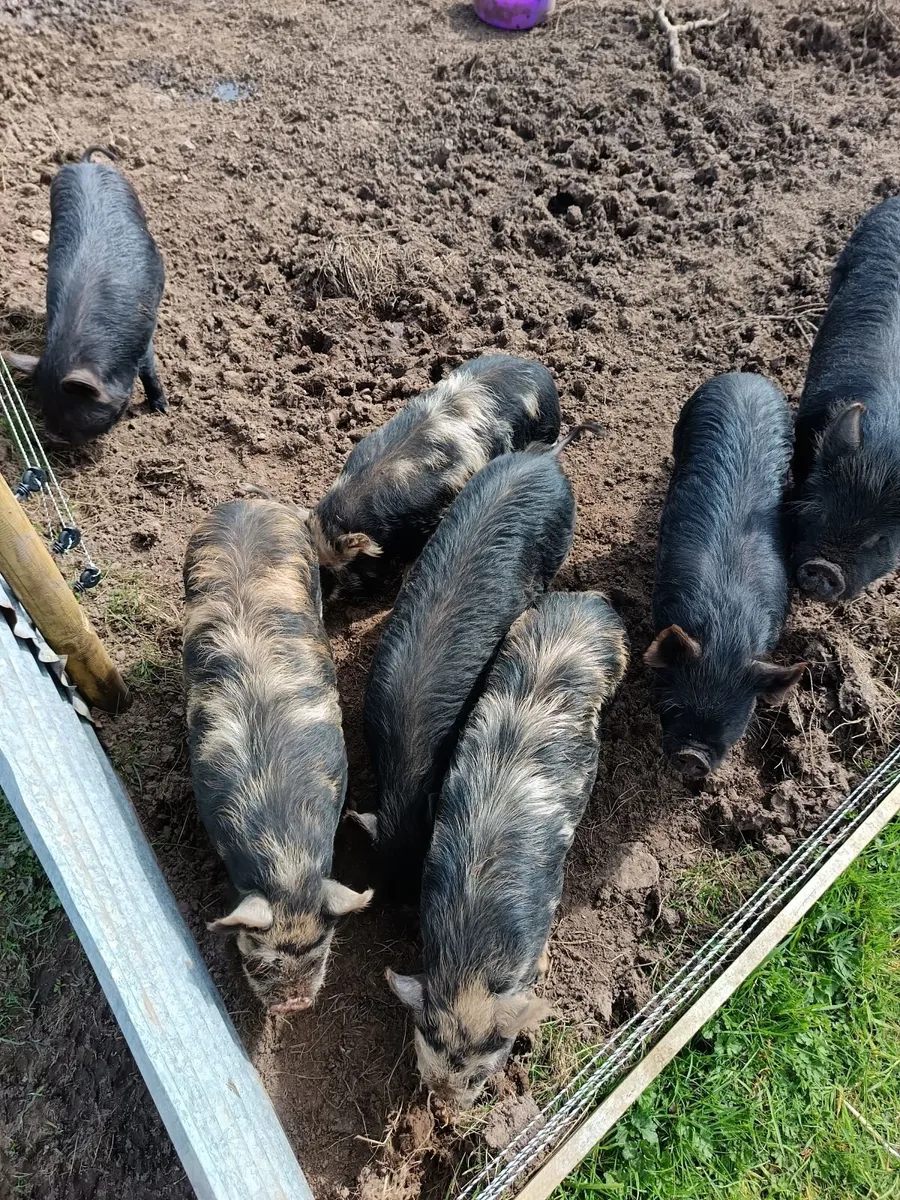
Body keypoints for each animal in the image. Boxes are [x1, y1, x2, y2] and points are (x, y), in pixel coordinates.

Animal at [2, 146, 166, 445]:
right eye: (45, 405)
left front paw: (162, 408)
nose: (52, 437)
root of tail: (85, 164)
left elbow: (150, 369)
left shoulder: (145, 331)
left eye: (72, 411)